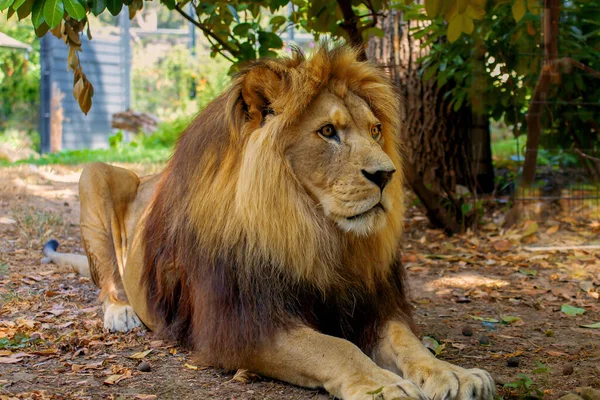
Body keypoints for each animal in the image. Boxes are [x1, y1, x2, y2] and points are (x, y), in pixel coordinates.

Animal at [43, 45, 496, 398]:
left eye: (375, 130)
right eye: (327, 131)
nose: (387, 175)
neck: (314, 232)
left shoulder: (373, 304)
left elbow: (410, 343)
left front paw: (455, 374)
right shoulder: (243, 324)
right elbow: (335, 348)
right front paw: (382, 385)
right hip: (92, 175)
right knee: (106, 275)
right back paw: (121, 311)